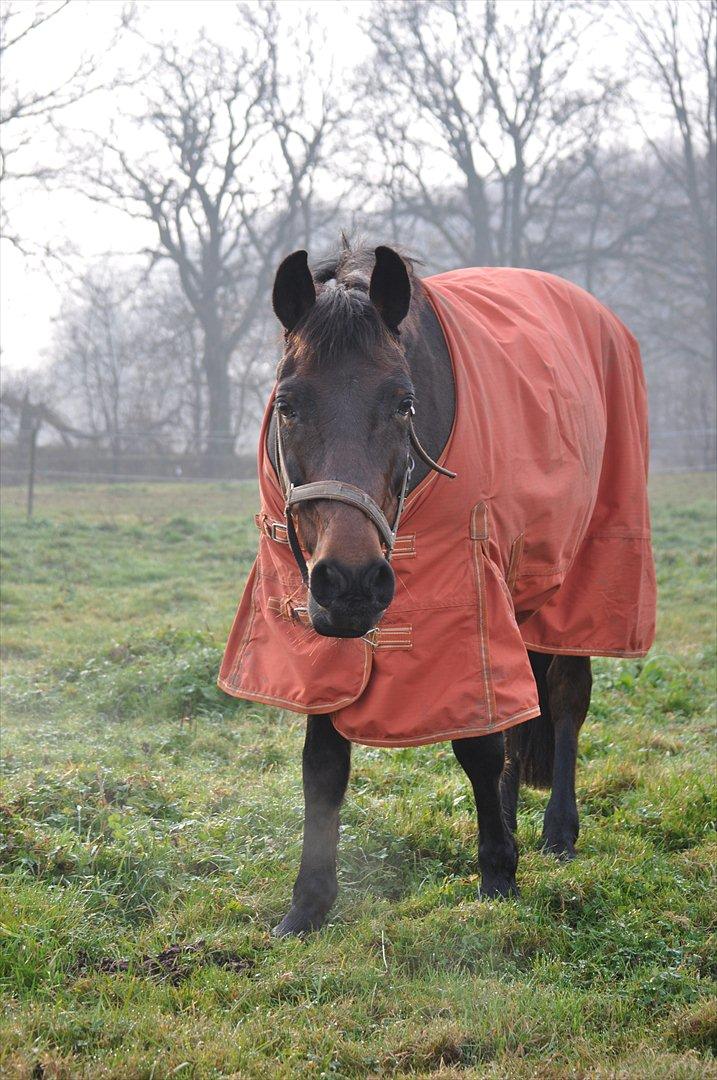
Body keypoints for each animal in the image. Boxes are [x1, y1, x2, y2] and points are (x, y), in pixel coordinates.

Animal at [220, 240, 656, 933]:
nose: (352, 582)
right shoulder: (319, 628)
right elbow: (324, 762)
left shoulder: (468, 604)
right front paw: (308, 905)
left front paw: (499, 875)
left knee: (564, 698)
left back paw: (558, 832)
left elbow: (478, 745)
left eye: (404, 403)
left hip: (581, 579)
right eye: (286, 405)